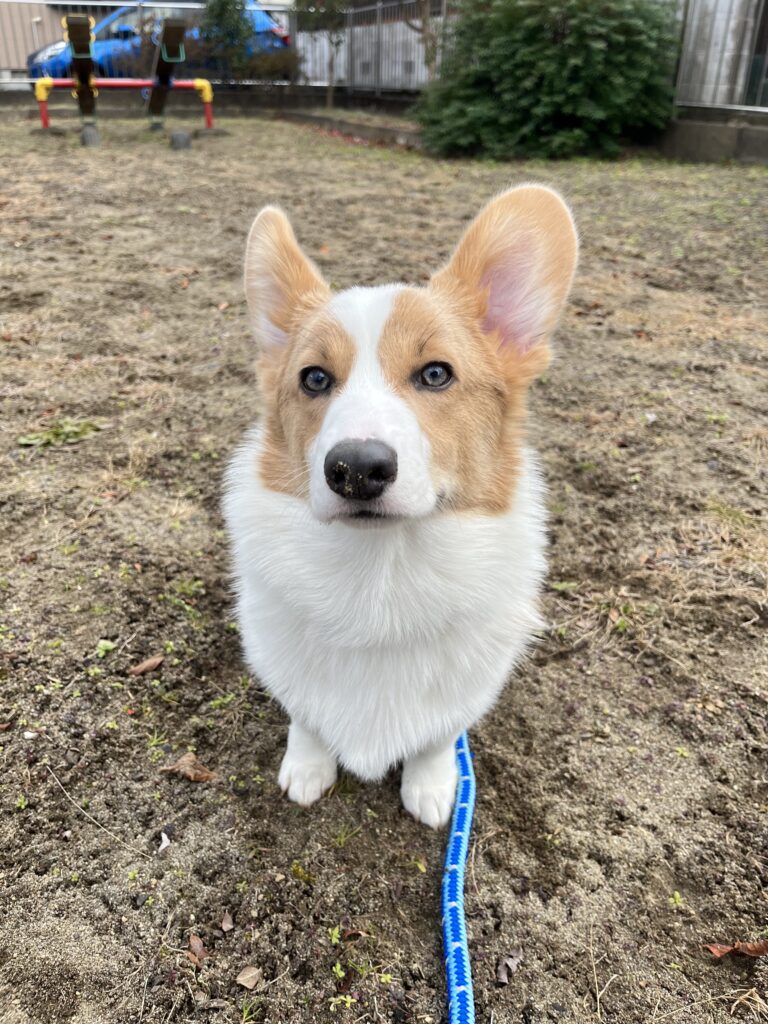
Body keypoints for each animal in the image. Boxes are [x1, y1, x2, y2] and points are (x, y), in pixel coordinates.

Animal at [222, 186, 577, 831]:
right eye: (315, 379)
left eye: (436, 373)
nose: (356, 468)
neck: (381, 574)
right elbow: (307, 718)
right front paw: (307, 770)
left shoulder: (462, 694)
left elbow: (436, 738)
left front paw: (432, 789)